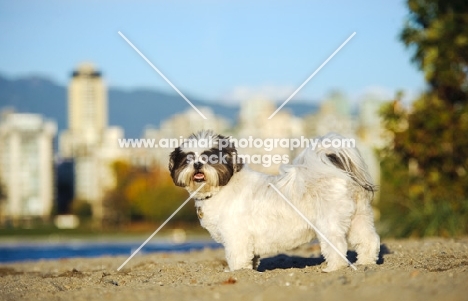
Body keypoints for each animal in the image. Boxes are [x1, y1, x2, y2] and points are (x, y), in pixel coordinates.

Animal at [168, 130, 380, 270]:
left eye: (210, 157)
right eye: (187, 159)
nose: (197, 164)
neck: (222, 187)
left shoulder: (236, 236)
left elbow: (237, 257)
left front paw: (236, 272)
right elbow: (251, 258)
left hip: (329, 223)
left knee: (337, 245)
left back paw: (333, 267)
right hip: (359, 218)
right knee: (368, 239)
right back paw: (366, 262)